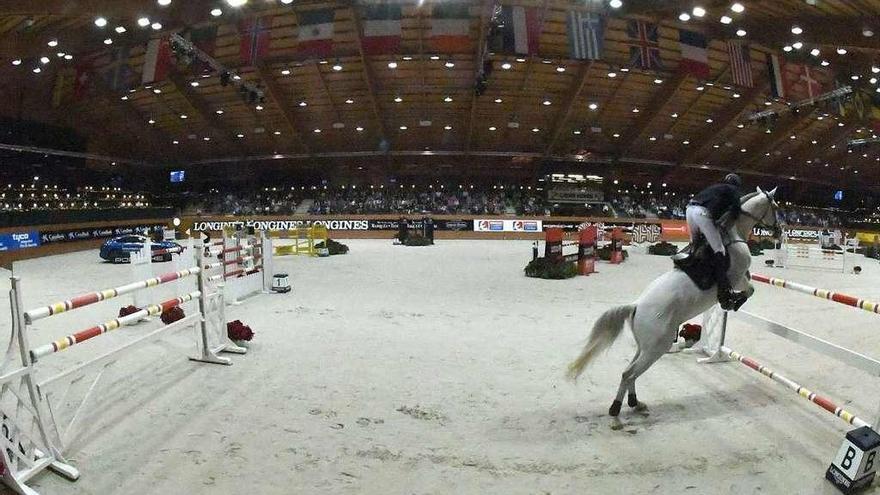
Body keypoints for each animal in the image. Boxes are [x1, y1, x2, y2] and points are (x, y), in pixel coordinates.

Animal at [568, 186, 780, 430]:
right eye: (776, 207)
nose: (779, 231)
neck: (733, 234)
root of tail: (635, 307)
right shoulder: (737, 278)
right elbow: (750, 289)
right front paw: (732, 302)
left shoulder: (741, 277)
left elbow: (751, 286)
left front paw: (733, 302)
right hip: (656, 347)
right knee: (628, 373)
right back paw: (616, 410)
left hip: (646, 346)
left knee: (630, 372)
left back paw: (635, 403)